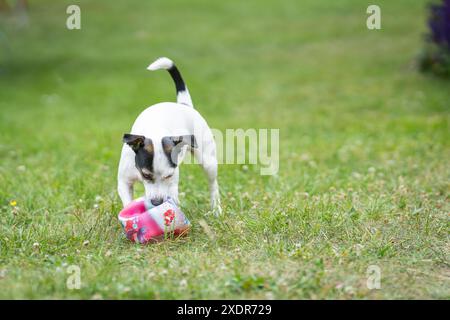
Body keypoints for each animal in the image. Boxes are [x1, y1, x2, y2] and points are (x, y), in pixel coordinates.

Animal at [117, 56, 221, 214]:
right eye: (146, 175)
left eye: (168, 175)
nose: (157, 202)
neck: (155, 130)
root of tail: (183, 105)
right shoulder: (124, 181)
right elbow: (127, 201)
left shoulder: (172, 182)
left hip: (208, 162)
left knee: (213, 184)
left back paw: (216, 209)